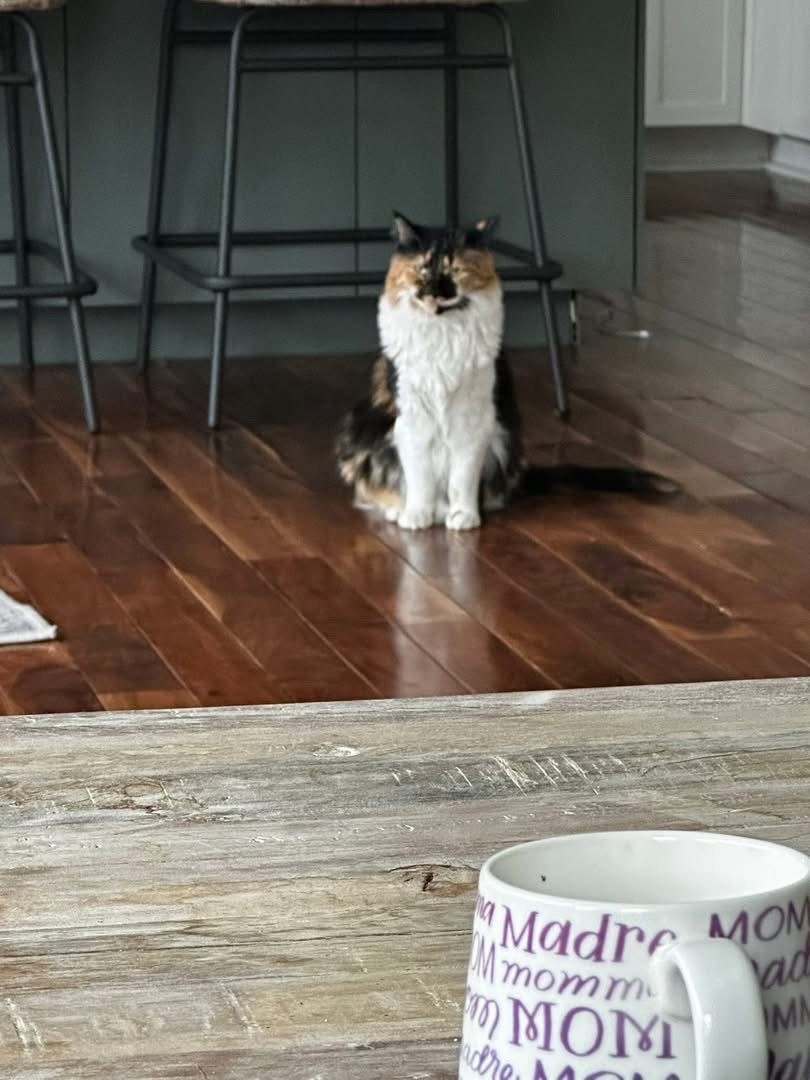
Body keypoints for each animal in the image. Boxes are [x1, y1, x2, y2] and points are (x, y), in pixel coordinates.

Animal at [336, 212, 678, 530]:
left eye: (456, 271)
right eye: (422, 270)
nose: (434, 293)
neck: (444, 331)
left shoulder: (474, 418)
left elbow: (462, 478)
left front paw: (464, 517)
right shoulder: (412, 416)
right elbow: (420, 477)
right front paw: (417, 516)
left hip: (504, 440)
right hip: (366, 431)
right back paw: (403, 511)